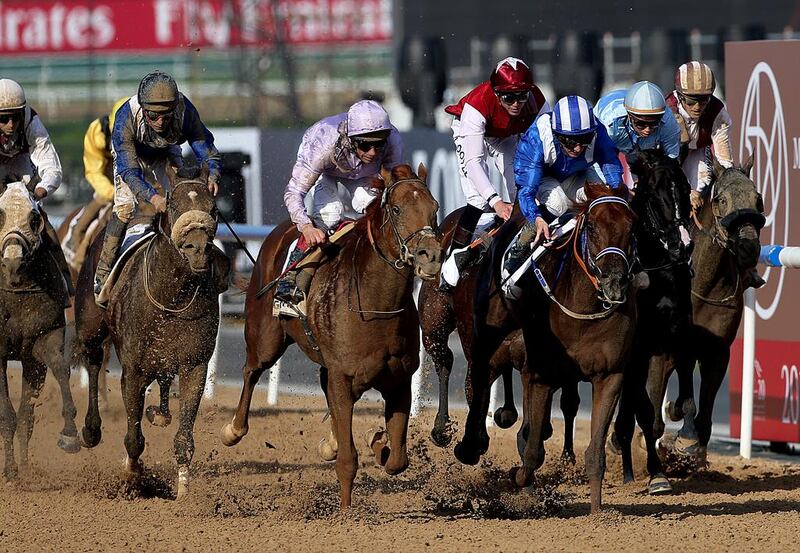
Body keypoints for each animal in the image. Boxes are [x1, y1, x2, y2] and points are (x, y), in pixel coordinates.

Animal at [0, 179, 80, 476]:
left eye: (34, 218)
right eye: (0, 215)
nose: (12, 262)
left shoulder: (42, 341)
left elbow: (59, 368)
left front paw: (70, 434)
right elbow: (7, 415)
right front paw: (10, 471)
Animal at [73, 164, 228, 496]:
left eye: (213, 209)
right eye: (174, 206)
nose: (198, 249)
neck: (172, 299)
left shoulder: (195, 364)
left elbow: (184, 436)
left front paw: (184, 491)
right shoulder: (133, 370)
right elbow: (133, 437)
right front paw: (132, 476)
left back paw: (159, 413)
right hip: (89, 325)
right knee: (92, 363)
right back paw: (91, 430)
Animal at [220, 165, 444, 508]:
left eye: (435, 208)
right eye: (396, 209)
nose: (430, 256)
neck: (374, 305)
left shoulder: (399, 379)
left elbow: (397, 459)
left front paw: (378, 442)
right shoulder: (343, 375)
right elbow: (348, 460)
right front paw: (346, 511)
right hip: (265, 338)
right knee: (251, 371)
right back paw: (233, 429)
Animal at [454, 182, 636, 512]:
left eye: (632, 227)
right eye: (592, 226)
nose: (615, 283)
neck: (583, 310)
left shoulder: (610, 375)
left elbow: (595, 454)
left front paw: (598, 512)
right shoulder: (542, 374)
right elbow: (533, 453)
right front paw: (516, 476)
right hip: (482, 339)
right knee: (478, 383)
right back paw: (470, 445)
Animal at [664, 158, 764, 458]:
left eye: (758, 199)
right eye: (721, 200)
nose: (748, 247)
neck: (705, 284)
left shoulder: (719, 350)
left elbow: (706, 409)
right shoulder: (683, 344)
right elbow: (688, 397)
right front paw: (686, 436)